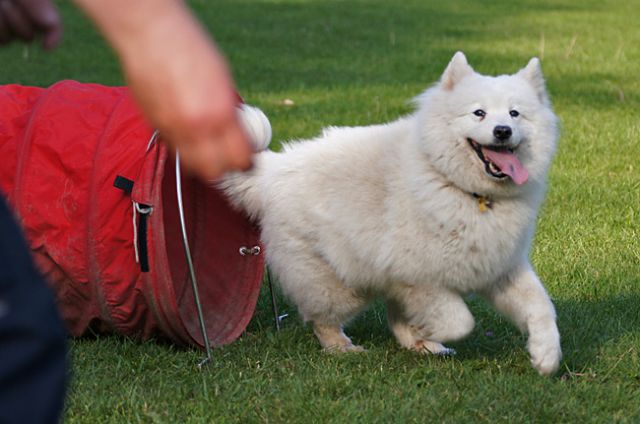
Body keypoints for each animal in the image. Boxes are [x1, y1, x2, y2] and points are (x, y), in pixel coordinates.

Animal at [224, 52, 560, 374]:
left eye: (514, 113)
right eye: (479, 113)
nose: (503, 131)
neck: (466, 190)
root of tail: (274, 168)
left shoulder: (500, 266)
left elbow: (541, 306)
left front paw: (546, 355)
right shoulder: (421, 276)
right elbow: (460, 321)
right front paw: (427, 332)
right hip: (341, 281)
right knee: (322, 318)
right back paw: (343, 347)